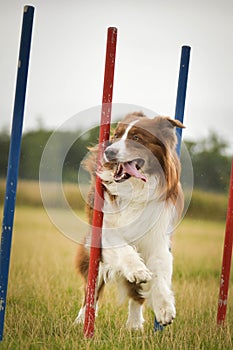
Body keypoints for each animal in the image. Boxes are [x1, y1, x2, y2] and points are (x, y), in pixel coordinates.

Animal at [74, 113, 184, 330]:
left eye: (137, 138)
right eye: (116, 135)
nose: (108, 152)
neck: (135, 188)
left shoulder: (157, 237)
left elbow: (159, 271)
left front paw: (165, 308)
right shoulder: (105, 227)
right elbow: (123, 247)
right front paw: (138, 269)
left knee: (136, 297)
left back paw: (134, 326)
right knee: (91, 291)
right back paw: (82, 320)